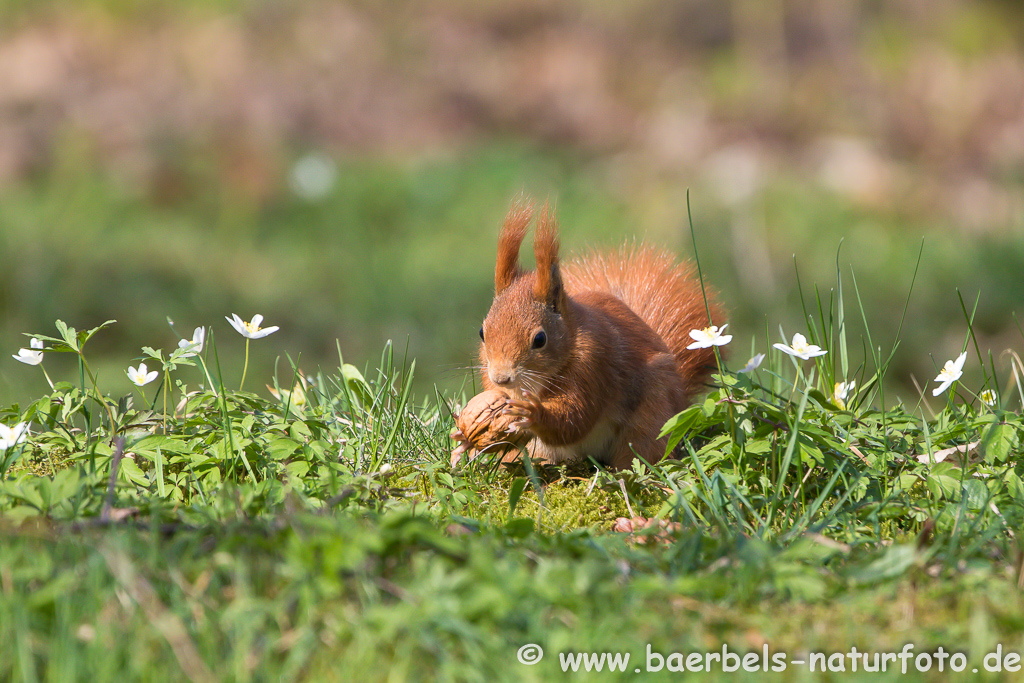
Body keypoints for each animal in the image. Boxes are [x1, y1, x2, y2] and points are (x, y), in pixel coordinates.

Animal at [452, 200, 724, 473]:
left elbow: (575, 417)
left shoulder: (593, 362)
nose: (501, 378)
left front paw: (534, 413)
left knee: (641, 450)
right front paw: (465, 439)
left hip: (652, 418)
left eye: (540, 340)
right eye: (482, 332)